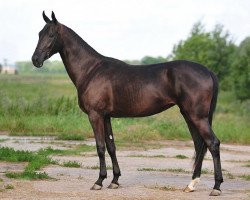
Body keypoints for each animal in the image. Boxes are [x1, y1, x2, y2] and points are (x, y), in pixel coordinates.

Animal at [30, 11, 223, 196]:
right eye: (39, 34)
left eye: (51, 34)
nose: (35, 59)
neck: (91, 70)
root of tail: (207, 71)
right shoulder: (106, 116)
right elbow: (111, 147)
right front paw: (114, 180)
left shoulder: (95, 115)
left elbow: (100, 147)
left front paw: (99, 181)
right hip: (189, 115)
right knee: (199, 144)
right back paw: (191, 185)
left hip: (197, 117)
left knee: (212, 143)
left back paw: (216, 187)